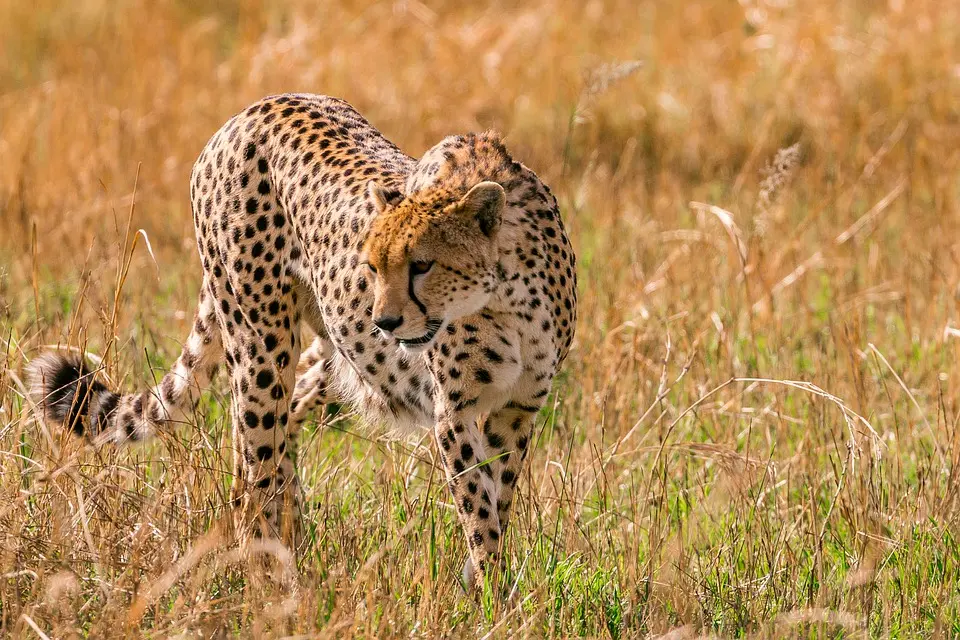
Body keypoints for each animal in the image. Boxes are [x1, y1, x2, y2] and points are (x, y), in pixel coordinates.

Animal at [26, 92, 576, 588]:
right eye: (372, 266)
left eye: (422, 265)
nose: (385, 322)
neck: (505, 294)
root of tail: (249, 111)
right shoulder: (453, 412)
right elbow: (478, 507)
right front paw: (490, 595)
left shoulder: (517, 409)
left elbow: (498, 496)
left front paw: (488, 586)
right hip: (260, 343)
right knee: (253, 451)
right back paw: (269, 571)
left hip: (337, 350)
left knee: (279, 422)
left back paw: (292, 532)